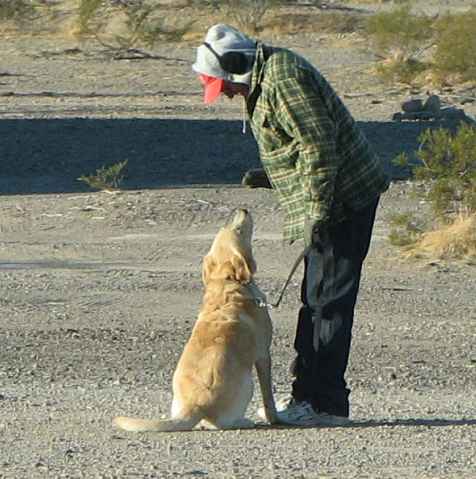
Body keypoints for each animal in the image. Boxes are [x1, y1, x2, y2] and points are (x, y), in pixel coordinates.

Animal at [113, 208, 278, 434]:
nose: (242, 210)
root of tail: (194, 407)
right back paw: (243, 421)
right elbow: (268, 394)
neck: (226, 281)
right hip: (248, 383)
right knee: (219, 423)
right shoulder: (263, 355)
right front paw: (274, 417)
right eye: (238, 229)